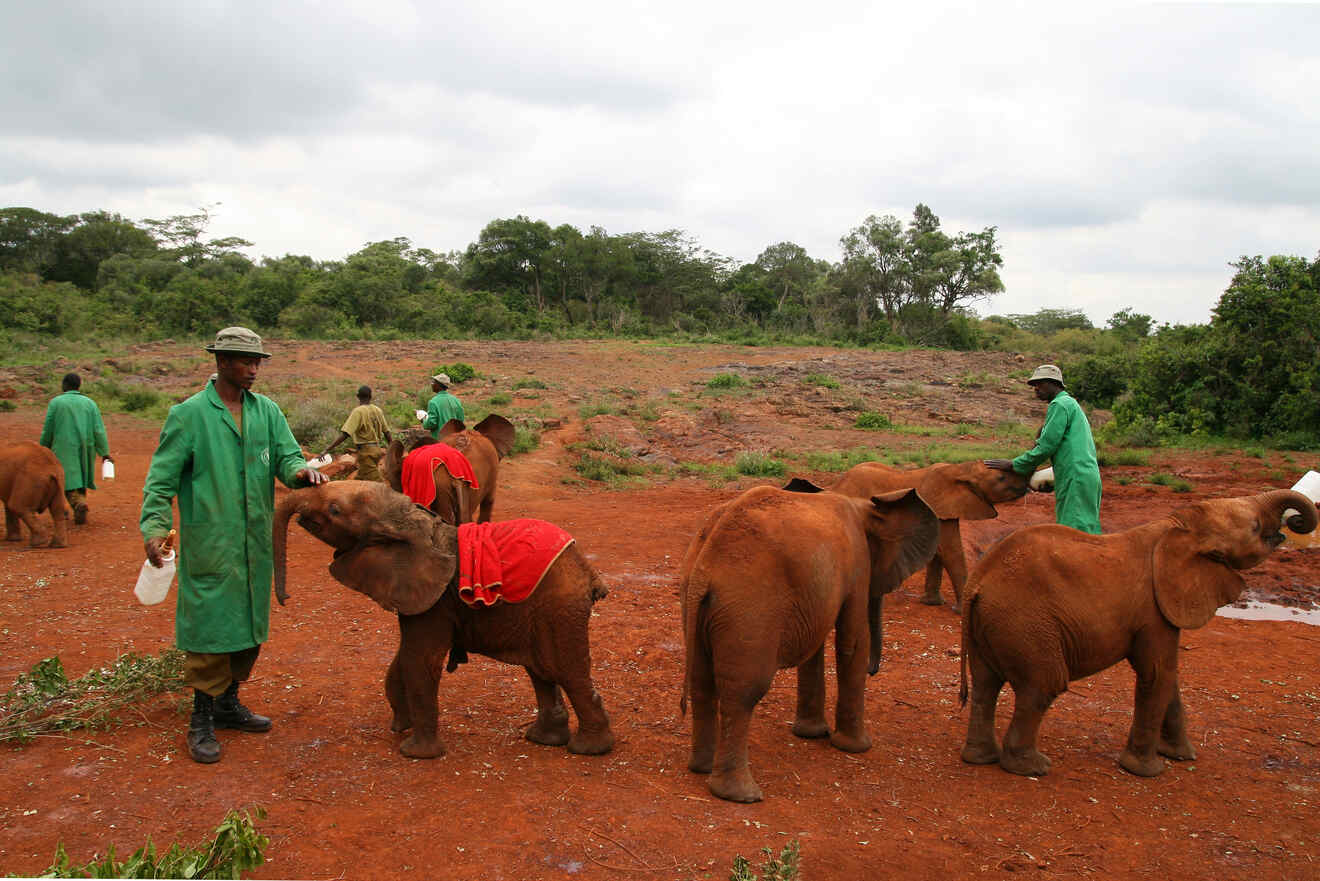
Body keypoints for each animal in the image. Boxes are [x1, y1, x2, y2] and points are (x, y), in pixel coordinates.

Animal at [275, 478, 615, 760]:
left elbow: (420, 659)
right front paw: (400, 726)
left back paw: (589, 749)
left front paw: (414, 753)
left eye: (334, 510)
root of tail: (588, 570)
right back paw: (542, 739)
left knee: (566, 671)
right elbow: (404, 657)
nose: (284, 598)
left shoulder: (434, 599)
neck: (412, 521)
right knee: (540, 669)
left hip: (559, 606)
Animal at [960, 488, 1320, 776]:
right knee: (1043, 684)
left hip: (995, 624)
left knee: (986, 685)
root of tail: (978, 582)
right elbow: (1157, 673)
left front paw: (1182, 756)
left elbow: (1169, 677)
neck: (1177, 526)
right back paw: (1032, 767)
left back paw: (982, 758)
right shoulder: (1155, 608)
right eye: (1255, 528)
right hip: (1026, 624)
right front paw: (1147, 771)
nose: (1294, 523)